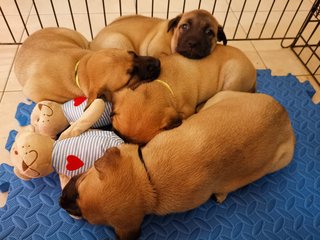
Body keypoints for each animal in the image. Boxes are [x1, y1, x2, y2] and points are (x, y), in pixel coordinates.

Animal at [59, 90, 296, 240]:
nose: (60, 203)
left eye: (79, 182)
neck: (148, 180)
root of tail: (283, 111)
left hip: (280, 160)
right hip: (223, 97)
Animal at [89, 9, 226, 58]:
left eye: (209, 32)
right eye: (184, 26)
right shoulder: (157, 50)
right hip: (119, 41)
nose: (192, 43)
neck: (172, 36)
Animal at [111, 43, 256, 143]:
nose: (124, 142)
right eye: (116, 131)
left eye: (143, 145)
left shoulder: (186, 110)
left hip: (232, 78)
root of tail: (254, 73)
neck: (160, 86)